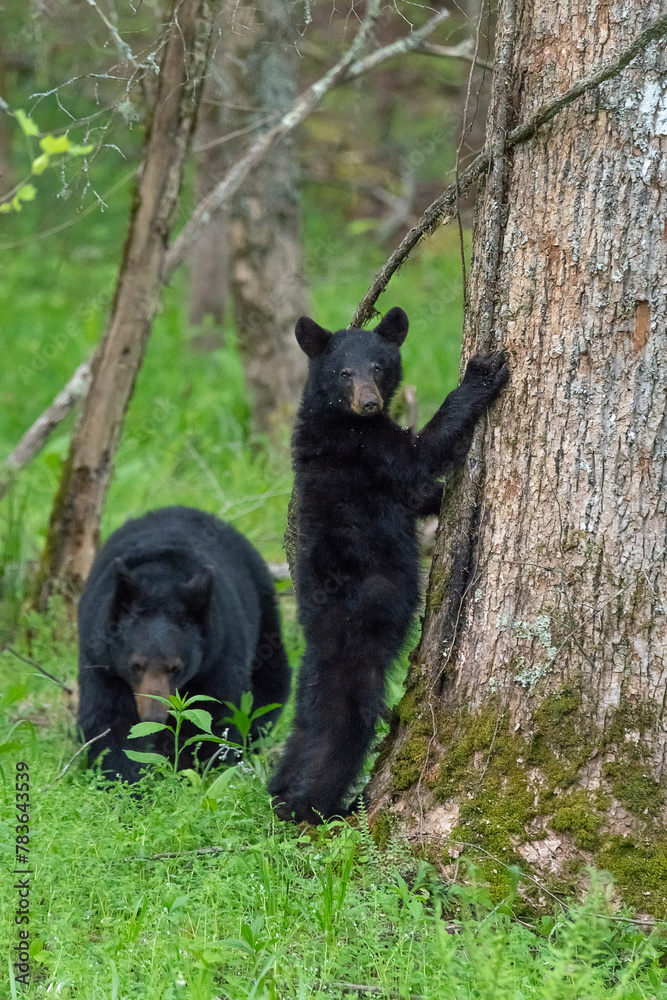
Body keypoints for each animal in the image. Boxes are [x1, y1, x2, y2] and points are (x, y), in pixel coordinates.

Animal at [77, 506, 291, 783]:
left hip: (265, 619)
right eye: (136, 665)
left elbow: (214, 714)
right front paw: (122, 778)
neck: (161, 582)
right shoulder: (101, 658)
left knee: (270, 686)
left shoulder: (220, 652)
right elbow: (107, 717)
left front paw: (188, 772)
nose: (154, 716)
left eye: (176, 668)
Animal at [268, 306, 509, 824]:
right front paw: (481, 374)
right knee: (336, 742)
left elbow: (420, 491)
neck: (337, 419)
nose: (370, 404)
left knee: (301, 739)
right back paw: (320, 808)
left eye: (378, 367)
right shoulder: (370, 451)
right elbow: (419, 459)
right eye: (344, 373)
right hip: (356, 666)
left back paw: (281, 792)